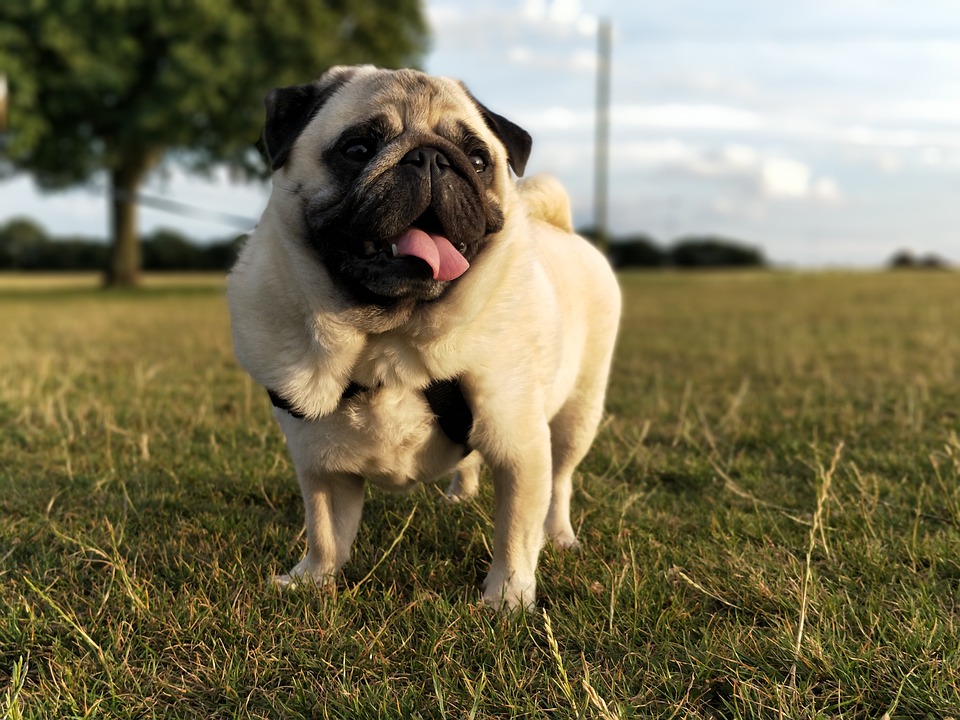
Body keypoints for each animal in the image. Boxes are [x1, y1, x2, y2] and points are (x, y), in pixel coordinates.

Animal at [231, 64, 624, 612]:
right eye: (357, 149)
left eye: (478, 160)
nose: (431, 158)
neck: (388, 340)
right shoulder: (319, 465)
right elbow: (325, 533)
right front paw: (312, 580)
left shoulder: (522, 447)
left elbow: (515, 533)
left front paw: (507, 599)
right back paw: (461, 494)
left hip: (577, 414)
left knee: (560, 484)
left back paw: (561, 535)